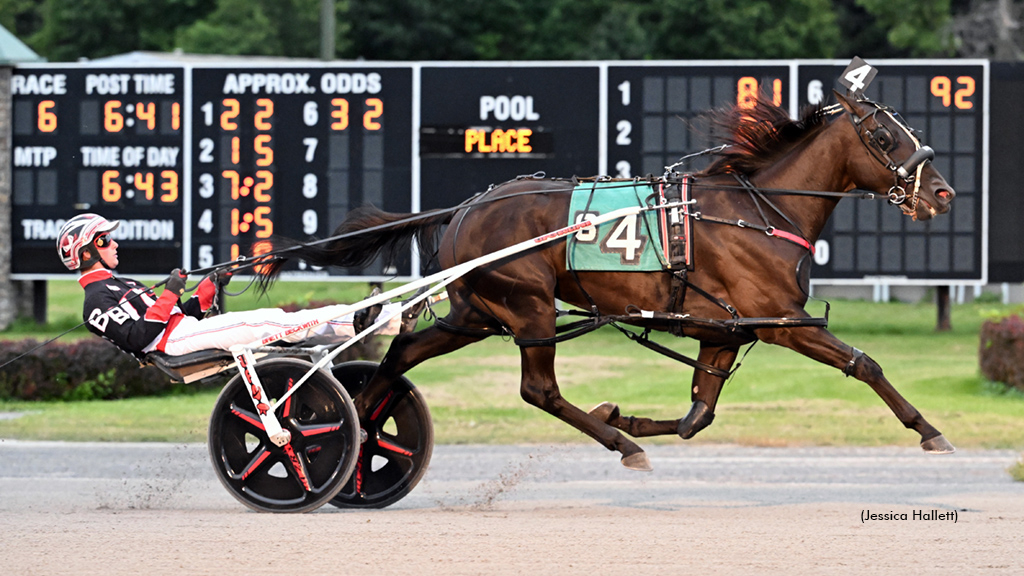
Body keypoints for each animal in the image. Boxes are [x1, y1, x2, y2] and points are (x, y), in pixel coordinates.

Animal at [260, 94, 954, 469]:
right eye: (885, 135)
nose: (942, 193)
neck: (757, 209)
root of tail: (464, 208)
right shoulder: (783, 319)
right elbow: (864, 364)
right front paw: (930, 431)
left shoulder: (725, 329)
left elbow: (698, 414)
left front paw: (627, 413)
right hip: (529, 307)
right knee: (538, 390)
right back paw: (618, 444)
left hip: (477, 313)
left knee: (401, 351)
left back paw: (356, 430)